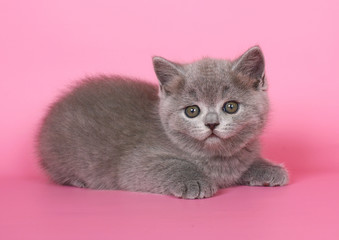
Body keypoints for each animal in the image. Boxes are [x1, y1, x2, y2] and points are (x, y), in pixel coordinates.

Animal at [39, 45, 290, 199]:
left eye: (230, 106)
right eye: (192, 111)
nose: (211, 123)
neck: (218, 159)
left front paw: (269, 168)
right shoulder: (136, 165)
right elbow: (172, 165)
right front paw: (194, 181)